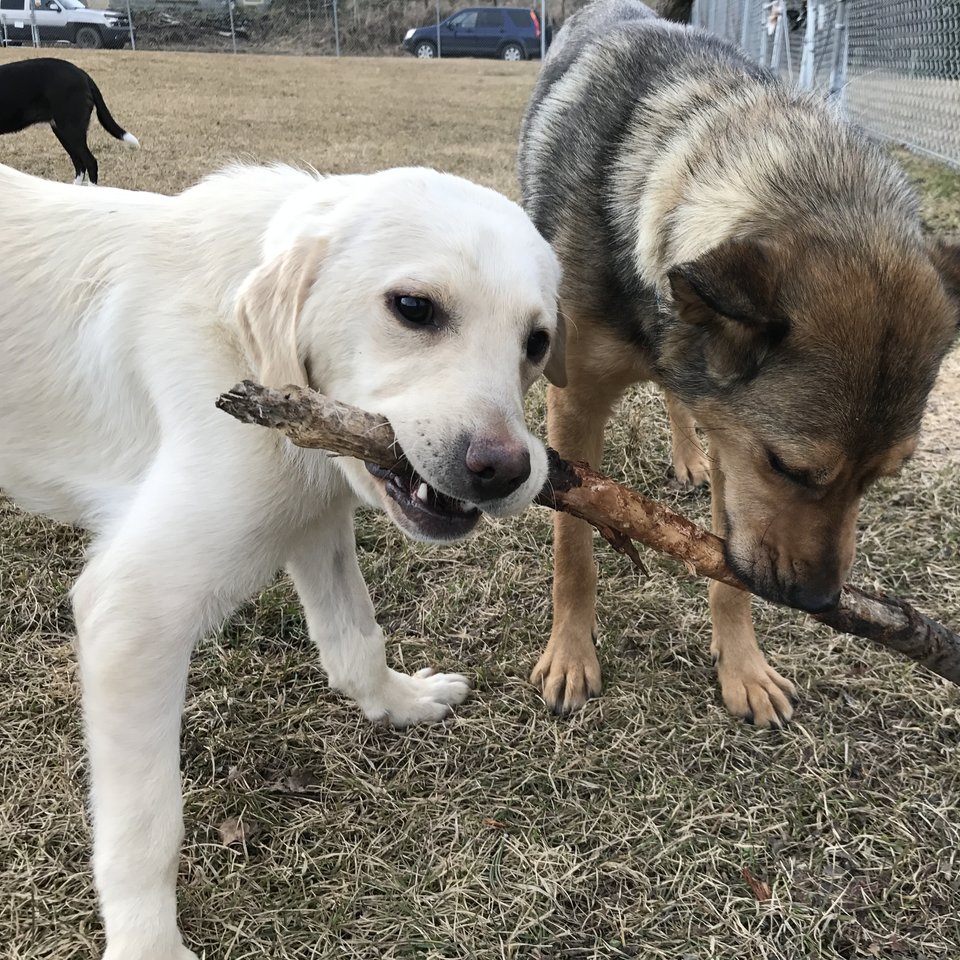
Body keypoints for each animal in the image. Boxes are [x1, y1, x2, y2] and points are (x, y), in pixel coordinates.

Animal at [0, 161, 568, 956]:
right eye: (413, 308)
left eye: (538, 342)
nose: (505, 471)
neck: (237, 343)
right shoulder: (132, 609)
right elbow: (147, 823)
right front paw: (148, 942)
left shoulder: (312, 515)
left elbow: (354, 637)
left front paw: (396, 704)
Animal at [516, 0, 960, 728]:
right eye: (790, 467)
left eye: (882, 477)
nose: (818, 603)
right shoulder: (577, 405)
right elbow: (574, 547)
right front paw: (571, 655)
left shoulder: (734, 437)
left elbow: (730, 573)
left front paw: (743, 669)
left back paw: (688, 453)